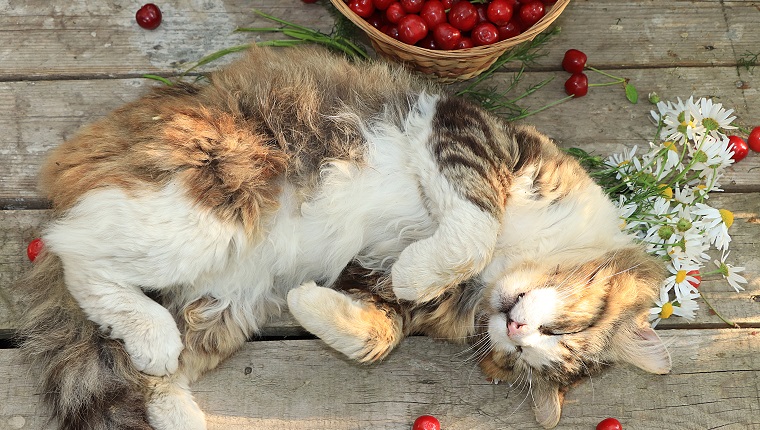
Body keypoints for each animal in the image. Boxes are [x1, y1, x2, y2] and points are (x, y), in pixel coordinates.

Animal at [13, 44, 672, 430]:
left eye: (525, 361)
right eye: (565, 332)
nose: (514, 328)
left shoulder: (374, 284)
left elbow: (378, 336)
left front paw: (313, 302)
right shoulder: (466, 132)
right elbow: (471, 230)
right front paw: (421, 266)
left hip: (228, 303)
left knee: (148, 368)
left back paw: (176, 397)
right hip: (207, 211)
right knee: (74, 251)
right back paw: (148, 330)